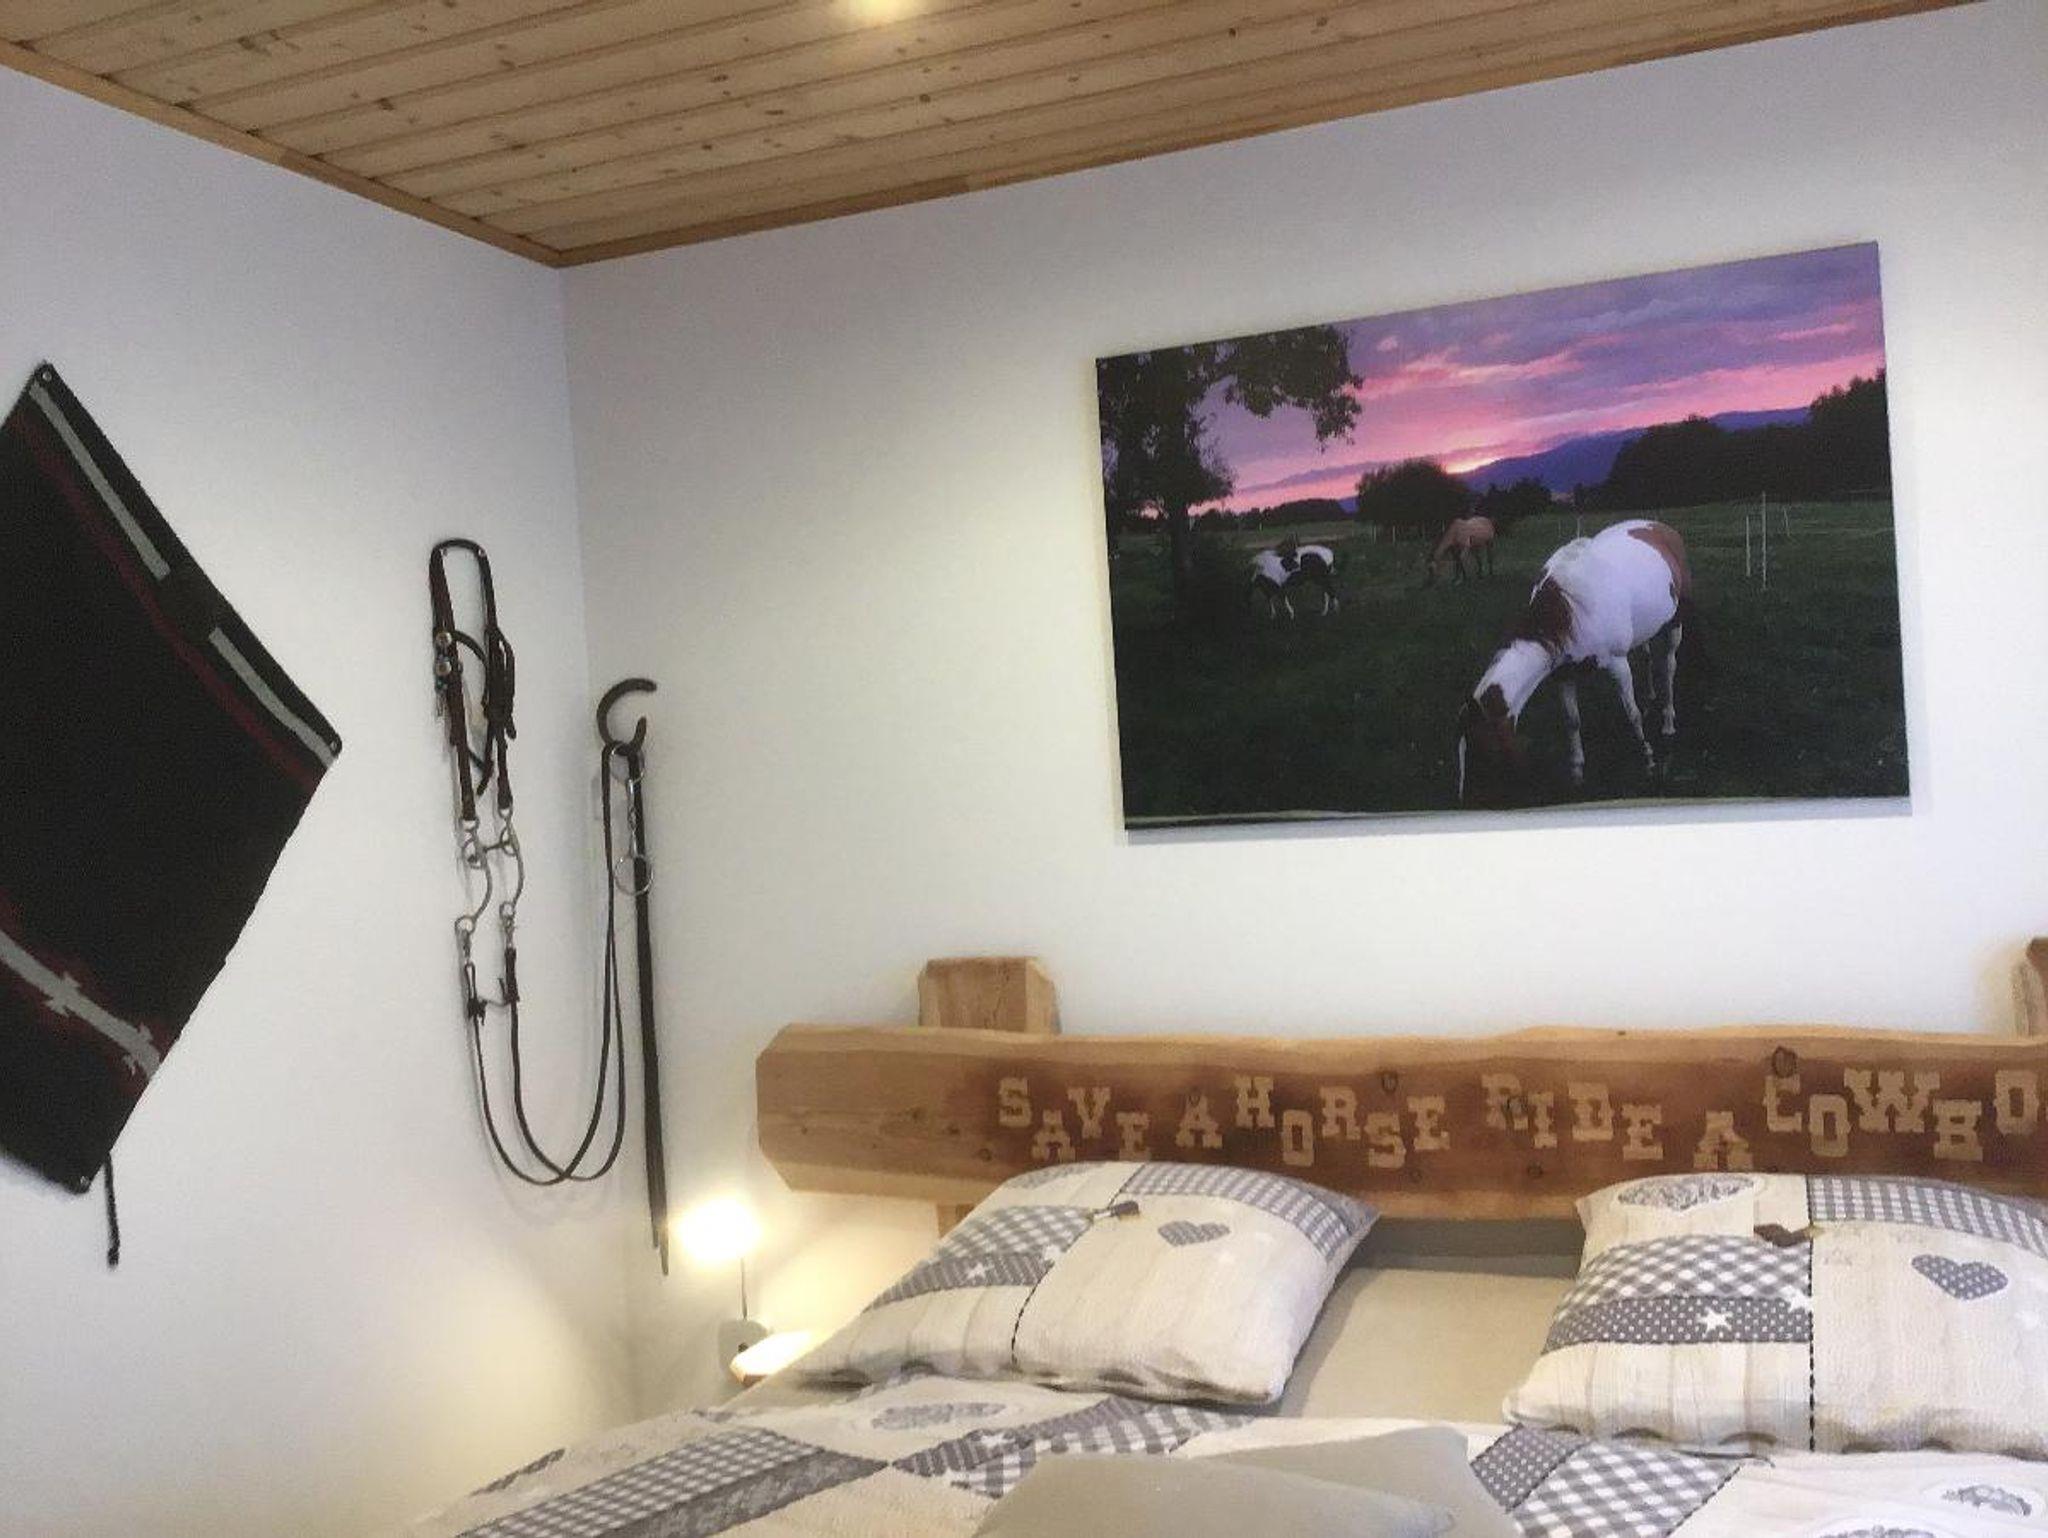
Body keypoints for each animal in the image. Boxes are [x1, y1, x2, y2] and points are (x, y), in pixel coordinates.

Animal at [1455, 519, 1693, 805]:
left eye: (1480, 751)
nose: (1463, 802)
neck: (1570, 609)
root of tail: (1659, 526)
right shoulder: (1564, 674)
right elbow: (1572, 721)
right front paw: (1577, 774)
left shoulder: (1617, 663)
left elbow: (1632, 713)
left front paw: (1648, 759)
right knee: (1647, 657)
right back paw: (1651, 697)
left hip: (1675, 623)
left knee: (1668, 666)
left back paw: (1668, 722)